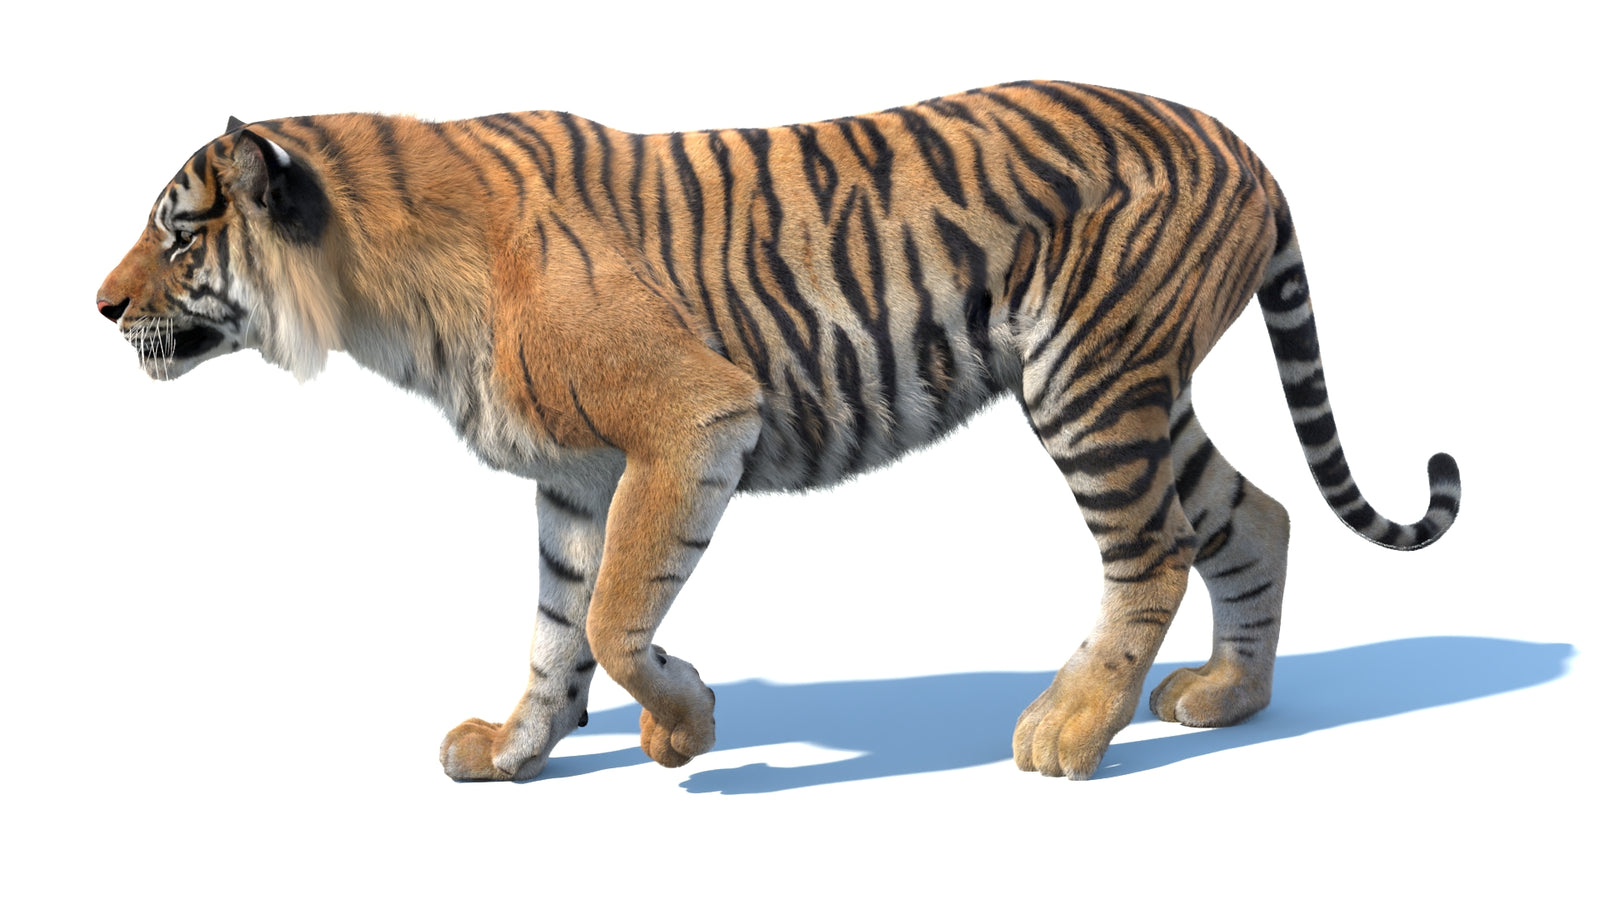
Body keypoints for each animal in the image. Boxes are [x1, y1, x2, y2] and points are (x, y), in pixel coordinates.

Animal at [97, 81, 1460, 781]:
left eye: (177, 232)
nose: (99, 307)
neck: (378, 292)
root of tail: (1243, 142)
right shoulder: (573, 478)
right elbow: (552, 626)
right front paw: (515, 748)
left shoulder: (691, 420)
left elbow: (615, 614)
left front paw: (683, 725)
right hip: (1142, 384)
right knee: (1258, 514)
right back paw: (1228, 698)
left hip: (1089, 378)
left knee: (1155, 549)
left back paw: (1068, 730)